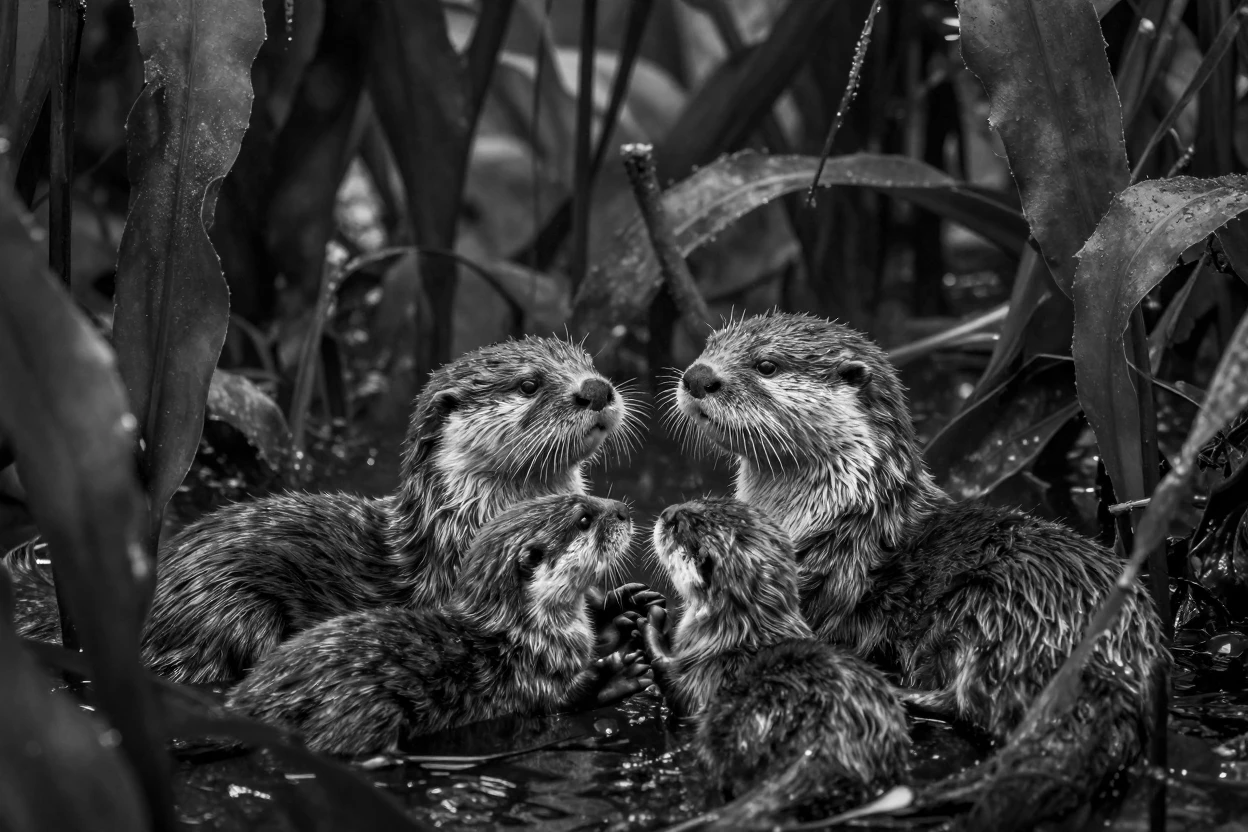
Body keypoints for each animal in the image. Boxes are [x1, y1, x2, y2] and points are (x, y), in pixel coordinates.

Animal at [14, 336, 644, 685]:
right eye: (530, 384)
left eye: (588, 360)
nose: (596, 389)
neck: (463, 531)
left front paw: (626, 600)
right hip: (227, 614)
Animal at [226, 494, 649, 756]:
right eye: (584, 519)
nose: (625, 509)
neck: (527, 633)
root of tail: (253, 701)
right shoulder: (527, 675)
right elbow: (561, 701)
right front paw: (616, 676)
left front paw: (623, 610)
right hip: (359, 705)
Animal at [642, 497, 909, 827]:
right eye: (700, 501)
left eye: (683, 525)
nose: (667, 513)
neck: (737, 635)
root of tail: (827, 743)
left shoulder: (704, 675)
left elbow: (674, 685)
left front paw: (651, 624)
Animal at [670, 312, 1168, 829]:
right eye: (710, 344)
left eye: (766, 365)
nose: (698, 376)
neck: (839, 517)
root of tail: (1114, 658)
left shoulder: (821, 579)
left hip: (990, 604)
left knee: (971, 702)